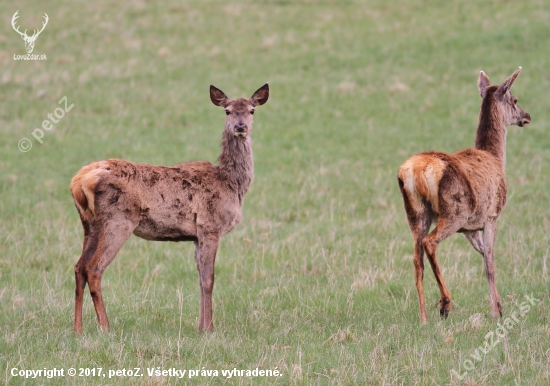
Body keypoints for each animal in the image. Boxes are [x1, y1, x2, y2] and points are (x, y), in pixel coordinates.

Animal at [71, 83, 272, 332]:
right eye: (227, 110)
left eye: (252, 110)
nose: (240, 126)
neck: (232, 183)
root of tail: (79, 181)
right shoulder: (210, 226)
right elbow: (209, 279)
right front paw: (209, 329)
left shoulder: (196, 235)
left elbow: (200, 278)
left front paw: (200, 326)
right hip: (118, 220)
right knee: (94, 268)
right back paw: (106, 327)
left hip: (89, 224)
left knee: (79, 267)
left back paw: (77, 329)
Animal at [398, 68, 532, 322]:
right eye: (515, 99)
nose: (527, 116)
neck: (496, 158)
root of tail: (416, 171)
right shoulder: (491, 216)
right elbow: (490, 263)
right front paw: (496, 312)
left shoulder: (470, 227)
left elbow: (483, 255)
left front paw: (499, 305)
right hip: (453, 211)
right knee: (430, 242)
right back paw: (445, 304)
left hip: (416, 213)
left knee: (416, 258)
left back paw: (423, 318)